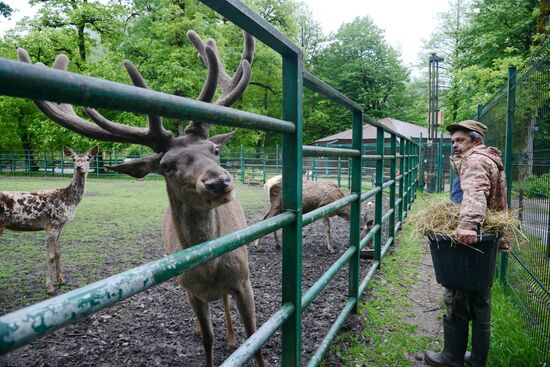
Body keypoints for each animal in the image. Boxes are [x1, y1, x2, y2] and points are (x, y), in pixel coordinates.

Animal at [0, 146, 99, 294]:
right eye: (73, 159)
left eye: (88, 158)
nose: (79, 167)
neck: (68, 201)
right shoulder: (52, 224)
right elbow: (50, 256)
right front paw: (49, 287)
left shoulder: (60, 226)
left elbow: (58, 253)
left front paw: (62, 280)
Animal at [16, 28, 266, 367]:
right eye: (167, 165)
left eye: (214, 150)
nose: (218, 182)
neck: (210, 271)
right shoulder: (190, 290)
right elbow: (208, 341)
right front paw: (207, 339)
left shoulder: (244, 280)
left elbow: (255, 336)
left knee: (225, 304)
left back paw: (230, 335)